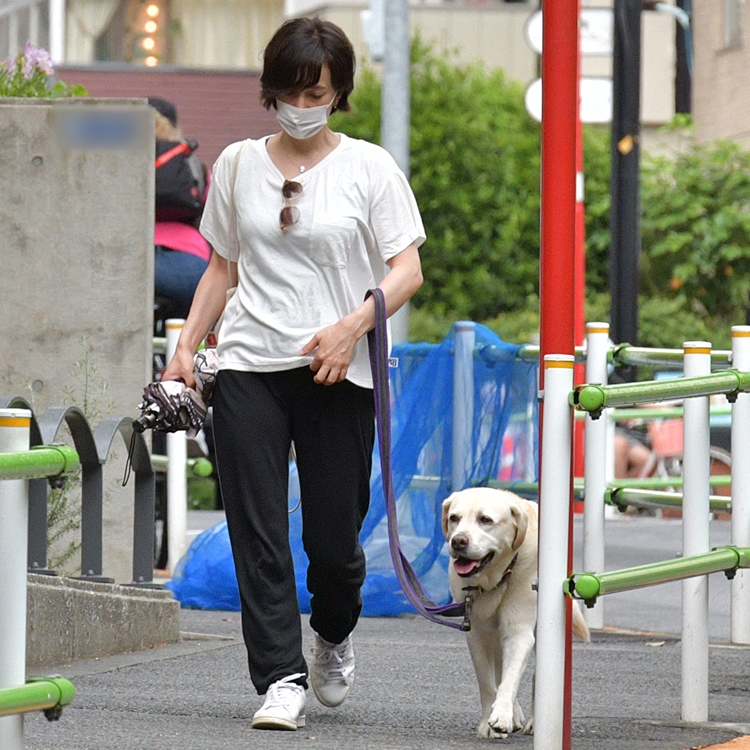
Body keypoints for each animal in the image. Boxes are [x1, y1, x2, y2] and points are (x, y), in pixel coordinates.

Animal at [444, 488, 592, 740]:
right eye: (454, 518)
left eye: (485, 520)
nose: (458, 541)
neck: (495, 580)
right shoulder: (477, 634)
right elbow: (487, 682)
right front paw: (490, 721)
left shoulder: (518, 632)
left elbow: (510, 679)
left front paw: (502, 716)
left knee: (533, 674)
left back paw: (532, 721)